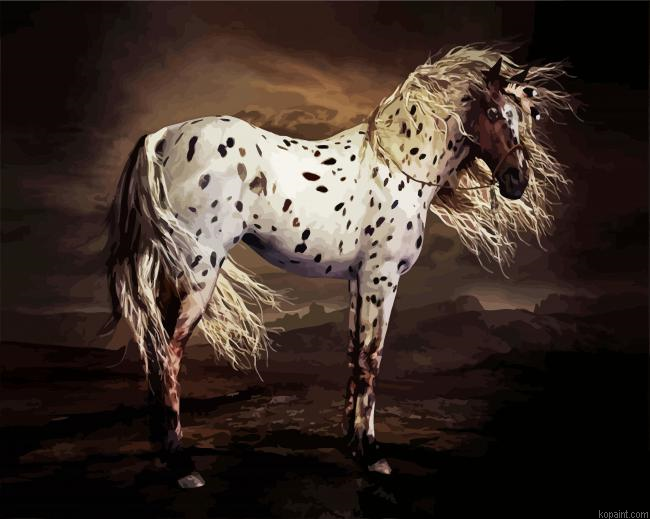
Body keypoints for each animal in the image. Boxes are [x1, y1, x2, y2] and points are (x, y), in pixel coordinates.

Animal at [103, 45, 573, 488]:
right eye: (493, 112)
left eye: (526, 115)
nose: (516, 180)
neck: (398, 165)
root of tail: (162, 136)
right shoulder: (382, 278)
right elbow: (371, 357)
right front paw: (373, 454)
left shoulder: (357, 280)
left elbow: (354, 354)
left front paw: (354, 442)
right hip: (198, 270)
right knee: (169, 352)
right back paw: (183, 466)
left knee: (153, 347)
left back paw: (164, 448)